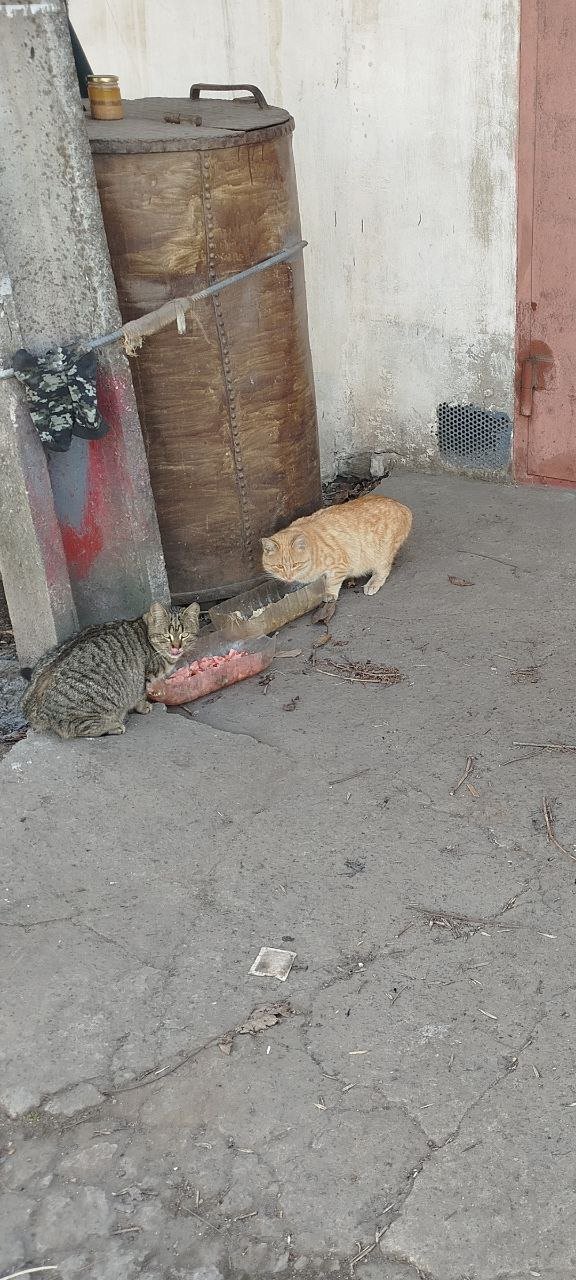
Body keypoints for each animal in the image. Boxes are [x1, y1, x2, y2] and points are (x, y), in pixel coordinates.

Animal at [22, 601, 199, 742]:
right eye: (166, 636)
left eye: (184, 635)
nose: (176, 647)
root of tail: (30, 708)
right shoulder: (145, 677)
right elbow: (140, 696)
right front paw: (143, 706)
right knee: (72, 728)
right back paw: (113, 726)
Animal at [258, 494, 412, 604]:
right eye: (279, 566)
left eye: (296, 564)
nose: (288, 577)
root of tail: (403, 507)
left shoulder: (339, 566)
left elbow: (331, 582)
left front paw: (329, 594)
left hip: (381, 555)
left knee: (383, 570)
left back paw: (373, 584)